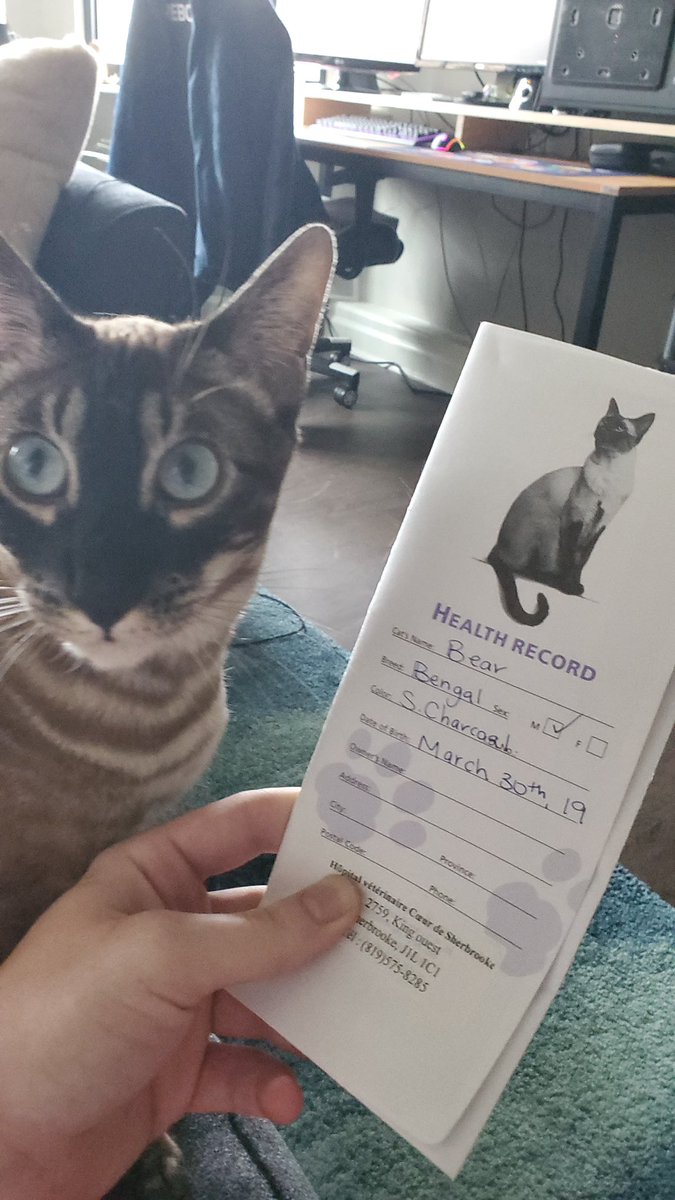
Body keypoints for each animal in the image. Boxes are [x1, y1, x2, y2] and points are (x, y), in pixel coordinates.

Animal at [0, 224, 333, 1196]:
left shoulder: (113, 848)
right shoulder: (25, 884)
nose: (102, 597)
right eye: (33, 465)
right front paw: (145, 1158)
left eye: (189, 474)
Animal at [487, 398, 654, 627]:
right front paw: (569, 587)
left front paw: (576, 585)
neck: (609, 473)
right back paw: (553, 580)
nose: (604, 429)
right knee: (526, 569)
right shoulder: (575, 519)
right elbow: (569, 558)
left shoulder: (599, 526)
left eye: (619, 427)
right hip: (551, 526)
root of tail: (496, 547)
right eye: (604, 422)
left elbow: (582, 560)